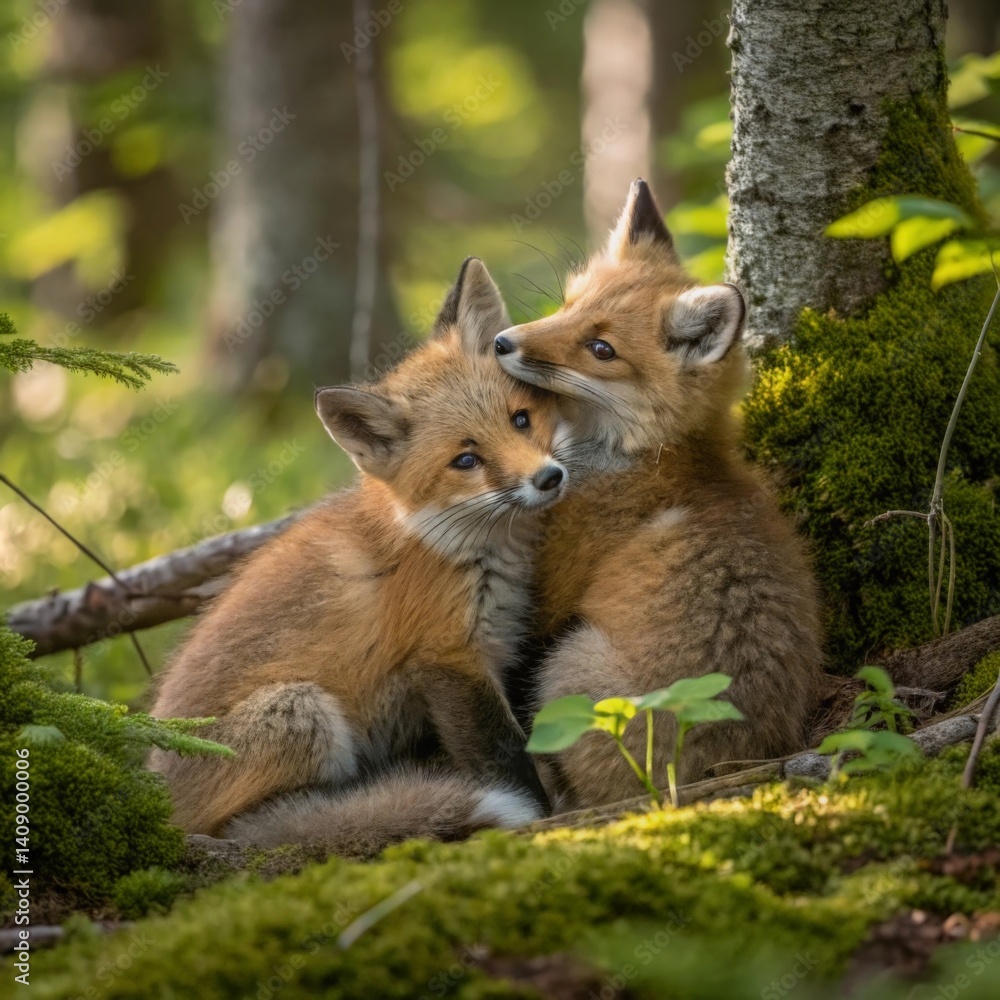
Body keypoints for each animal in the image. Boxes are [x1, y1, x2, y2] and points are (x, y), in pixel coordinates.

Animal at [148, 257, 568, 845]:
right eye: (466, 460)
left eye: (521, 419)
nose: (549, 478)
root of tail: (159, 806)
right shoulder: (448, 657)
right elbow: (505, 756)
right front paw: (546, 813)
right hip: (300, 711)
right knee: (249, 828)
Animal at [493, 179, 823, 811]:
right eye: (567, 303)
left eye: (601, 349)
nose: (501, 342)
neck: (647, 453)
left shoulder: (553, 582)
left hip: (567, 666)